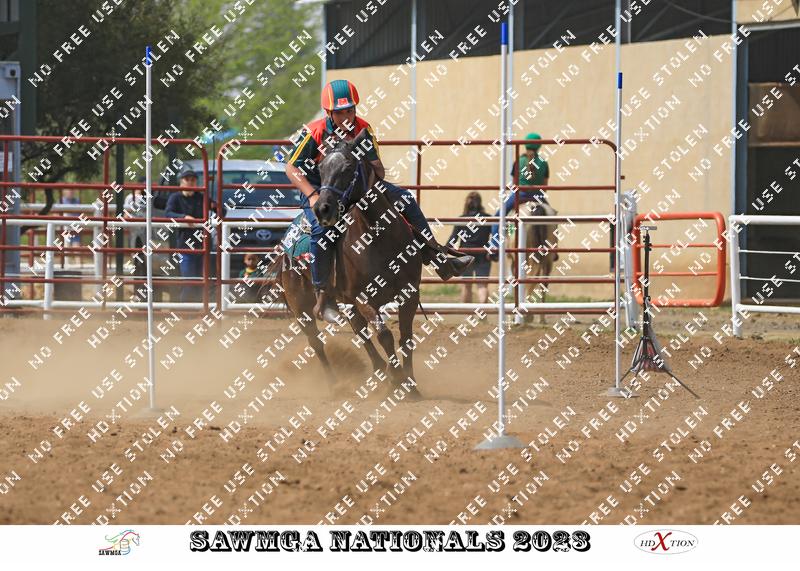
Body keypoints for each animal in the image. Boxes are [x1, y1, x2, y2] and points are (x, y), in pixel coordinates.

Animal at [260, 129, 425, 398]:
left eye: (348, 167)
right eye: (320, 167)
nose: (322, 208)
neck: (379, 236)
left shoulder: (409, 292)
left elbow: (406, 338)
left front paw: (410, 386)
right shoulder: (364, 298)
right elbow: (385, 335)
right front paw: (397, 378)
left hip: (345, 301)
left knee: (359, 331)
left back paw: (379, 371)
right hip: (301, 305)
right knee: (317, 342)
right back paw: (335, 384)